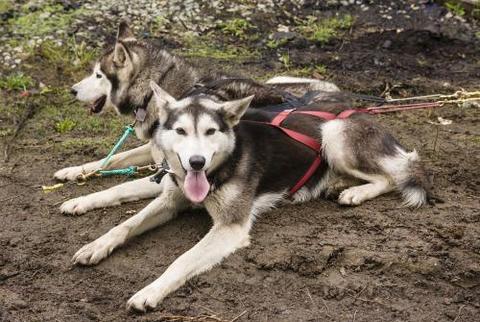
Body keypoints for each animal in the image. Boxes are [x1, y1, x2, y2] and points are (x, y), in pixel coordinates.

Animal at [57, 21, 338, 215]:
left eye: (98, 75)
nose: (72, 90)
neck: (155, 93)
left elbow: (119, 187)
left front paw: (80, 201)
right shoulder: (157, 153)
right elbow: (114, 158)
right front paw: (75, 171)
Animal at [72, 80, 436, 312]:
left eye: (210, 131)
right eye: (180, 131)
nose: (196, 162)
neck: (219, 168)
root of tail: (362, 112)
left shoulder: (229, 228)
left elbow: (182, 260)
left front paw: (150, 291)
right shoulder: (171, 196)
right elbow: (125, 220)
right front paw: (92, 237)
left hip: (334, 138)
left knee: (392, 176)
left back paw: (356, 193)